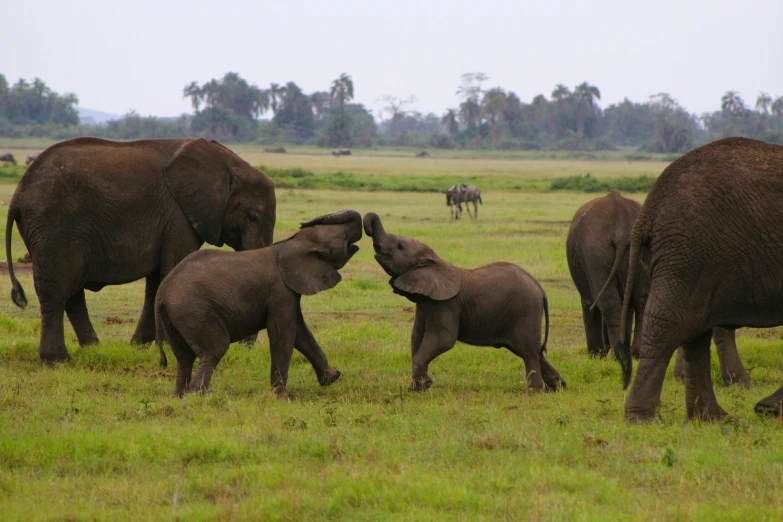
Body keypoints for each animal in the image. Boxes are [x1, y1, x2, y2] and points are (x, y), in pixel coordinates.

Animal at [4, 136, 276, 362]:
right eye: (252, 217)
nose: (244, 350)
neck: (226, 162)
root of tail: (18, 194)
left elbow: (157, 283)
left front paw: (139, 348)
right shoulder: (178, 215)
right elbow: (172, 270)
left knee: (71, 292)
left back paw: (93, 350)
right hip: (53, 227)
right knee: (56, 290)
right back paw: (58, 360)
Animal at [157, 209, 364, 396]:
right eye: (345, 237)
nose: (303, 223)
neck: (292, 243)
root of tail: (162, 294)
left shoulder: (288, 291)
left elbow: (300, 332)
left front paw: (332, 378)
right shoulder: (280, 291)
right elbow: (283, 334)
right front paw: (282, 397)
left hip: (176, 318)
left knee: (184, 358)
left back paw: (181, 397)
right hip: (195, 312)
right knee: (214, 350)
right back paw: (199, 396)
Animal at [364, 211, 568, 390]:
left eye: (400, 246)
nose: (366, 227)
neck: (434, 260)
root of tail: (540, 288)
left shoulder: (445, 304)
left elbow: (443, 339)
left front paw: (420, 388)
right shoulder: (425, 302)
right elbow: (416, 337)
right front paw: (419, 386)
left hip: (525, 308)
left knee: (528, 351)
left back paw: (533, 392)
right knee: (534, 351)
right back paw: (558, 388)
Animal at [568, 188, 752, 386]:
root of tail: (620, 220)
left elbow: (590, 304)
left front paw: (596, 356)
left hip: (595, 252)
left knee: (610, 303)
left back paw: (621, 356)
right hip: (630, 249)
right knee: (640, 300)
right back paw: (635, 353)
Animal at [620, 136, 783, 420]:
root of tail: (649, 210)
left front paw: (769, 409)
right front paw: (770, 410)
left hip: (696, 259)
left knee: (695, 332)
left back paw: (711, 418)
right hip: (689, 253)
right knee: (671, 325)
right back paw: (642, 419)